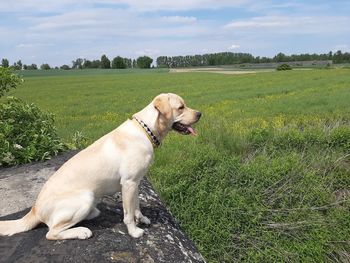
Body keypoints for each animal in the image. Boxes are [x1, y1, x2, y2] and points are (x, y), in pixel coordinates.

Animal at [0, 93, 201, 241]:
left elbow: (136, 206)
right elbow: (128, 214)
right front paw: (134, 231)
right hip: (84, 198)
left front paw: (142, 219)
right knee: (51, 232)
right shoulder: (128, 183)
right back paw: (81, 231)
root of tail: (34, 209)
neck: (146, 130)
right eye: (181, 107)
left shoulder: (135, 183)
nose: (199, 114)